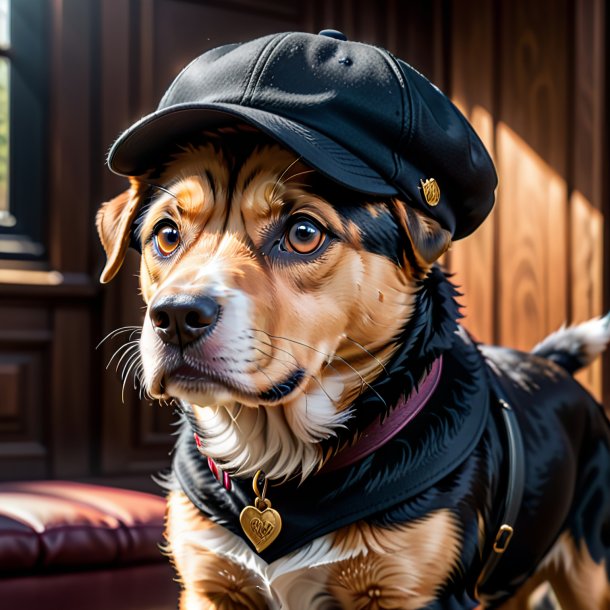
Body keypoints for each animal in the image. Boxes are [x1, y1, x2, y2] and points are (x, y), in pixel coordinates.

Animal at [95, 32, 608, 608]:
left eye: (303, 233)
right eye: (165, 235)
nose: (177, 316)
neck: (274, 463)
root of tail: (551, 364)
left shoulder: (415, 591)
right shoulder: (209, 586)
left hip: (590, 569)